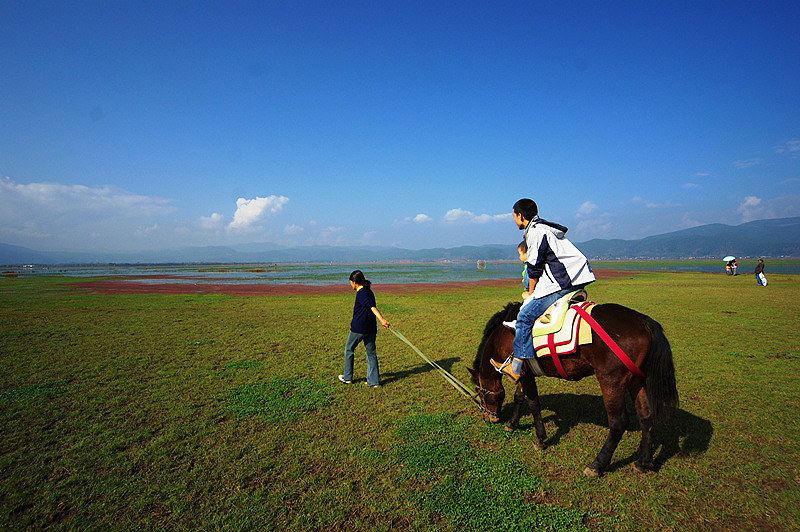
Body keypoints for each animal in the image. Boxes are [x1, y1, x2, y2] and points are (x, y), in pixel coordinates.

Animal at [466, 302, 680, 476]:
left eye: (480, 392)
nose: (488, 418)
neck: (503, 335)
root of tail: (645, 322)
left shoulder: (525, 374)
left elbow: (533, 403)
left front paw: (540, 439)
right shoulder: (522, 373)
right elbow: (519, 397)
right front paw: (512, 424)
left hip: (611, 380)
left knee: (618, 423)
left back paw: (597, 465)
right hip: (637, 379)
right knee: (646, 417)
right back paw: (644, 462)